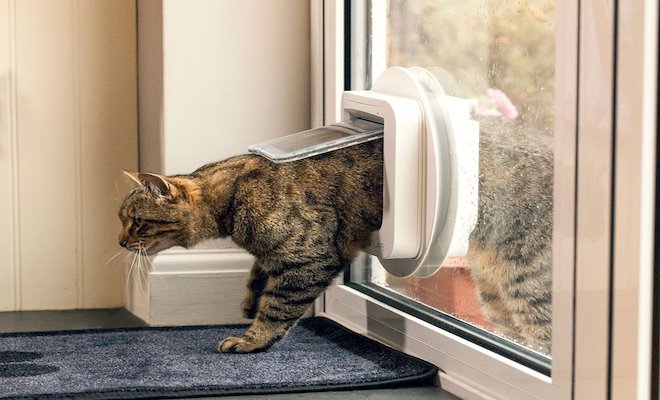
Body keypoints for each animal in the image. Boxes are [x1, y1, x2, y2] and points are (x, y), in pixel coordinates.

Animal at [117, 118, 552, 354]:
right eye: (122, 221)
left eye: (135, 222)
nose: (120, 242)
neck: (234, 193)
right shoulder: (276, 256)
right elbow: (259, 278)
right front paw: (248, 300)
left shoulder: (308, 257)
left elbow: (277, 307)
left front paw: (253, 339)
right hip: (496, 297)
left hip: (530, 284)